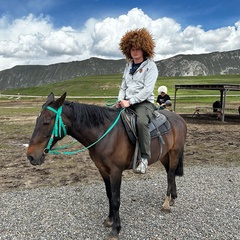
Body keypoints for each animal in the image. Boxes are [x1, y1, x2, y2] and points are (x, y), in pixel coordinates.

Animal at [26, 92, 188, 240]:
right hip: (164, 155)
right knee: (170, 174)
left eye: (47, 121)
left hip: (174, 153)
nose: (31, 156)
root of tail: (179, 118)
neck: (104, 134)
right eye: (37, 120)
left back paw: (166, 203)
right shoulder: (103, 170)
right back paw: (173, 197)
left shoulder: (116, 171)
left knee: (170, 174)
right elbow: (109, 195)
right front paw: (110, 220)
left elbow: (116, 199)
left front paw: (116, 229)